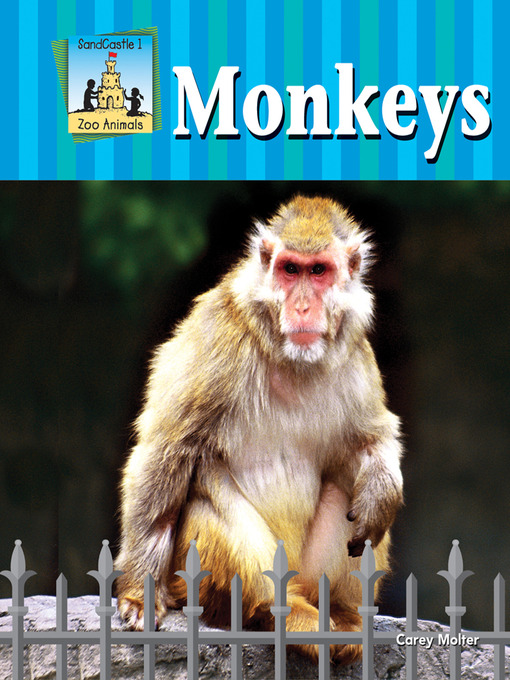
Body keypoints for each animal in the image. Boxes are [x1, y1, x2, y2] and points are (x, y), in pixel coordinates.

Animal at [114, 195, 404, 664]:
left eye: (318, 271)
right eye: (289, 270)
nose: (302, 307)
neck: (290, 355)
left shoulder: (355, 353)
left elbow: (370, 438)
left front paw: (383, 486)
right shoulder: (216, 339)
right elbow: (166, 450)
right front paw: (141, 593)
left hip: (310, 573)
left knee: (347, 489)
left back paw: (343, 615)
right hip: (201, 583)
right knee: (206, 490)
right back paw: (276, 614)